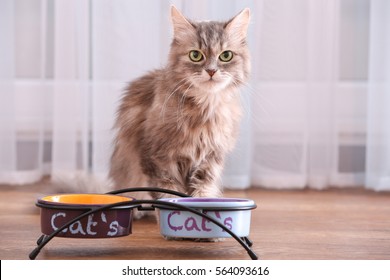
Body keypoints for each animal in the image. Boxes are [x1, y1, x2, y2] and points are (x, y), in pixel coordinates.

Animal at [108, 5, 251, 205]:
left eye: (226, 56)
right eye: (195, 55)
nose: (211, 71)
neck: (204, 111)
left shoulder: (210, 161)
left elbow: (202, 193)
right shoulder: (157, 160)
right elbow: (168, 194)